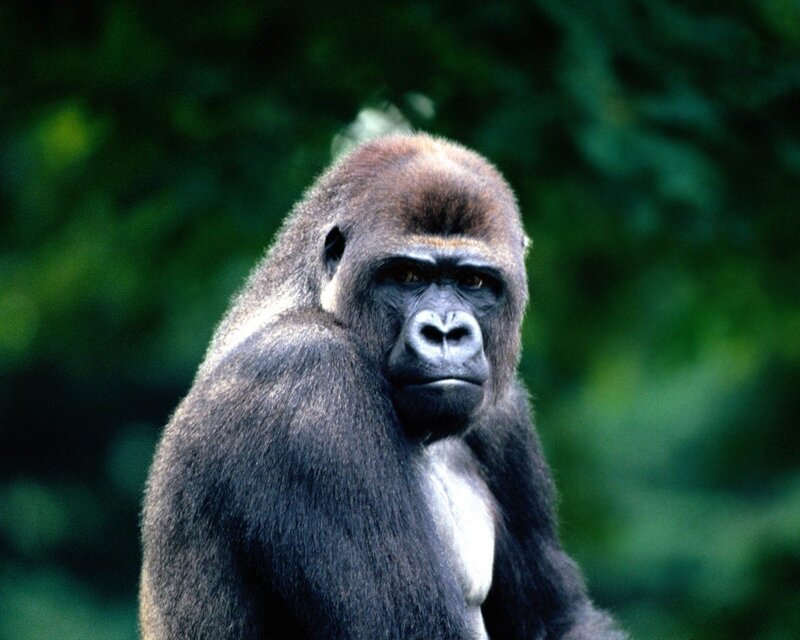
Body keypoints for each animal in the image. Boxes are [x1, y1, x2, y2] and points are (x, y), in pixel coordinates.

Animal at [139, 133, 626, 639]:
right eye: (408, 276)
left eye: (474, 281)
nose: (447, 332)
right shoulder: (309, 383)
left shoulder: (505, 411)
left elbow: (558, 617)